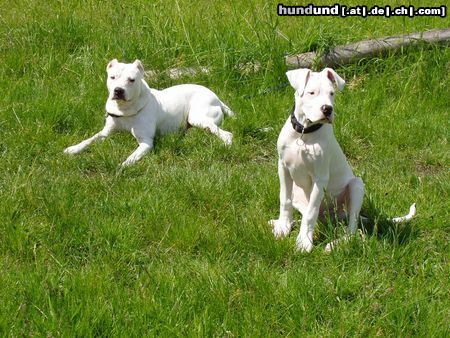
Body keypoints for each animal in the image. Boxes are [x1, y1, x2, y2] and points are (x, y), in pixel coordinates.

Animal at [65, 59, 234, 168]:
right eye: (112, 77)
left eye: (131, 80)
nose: (118, 90)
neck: (125, 109)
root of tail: (216, 97)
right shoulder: (105, 132)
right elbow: (89, 140)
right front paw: (73, 148)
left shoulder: (146, 142)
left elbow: (132, 157)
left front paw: (123, 166)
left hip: (198, 117)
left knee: (225, 133)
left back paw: (226, 144)